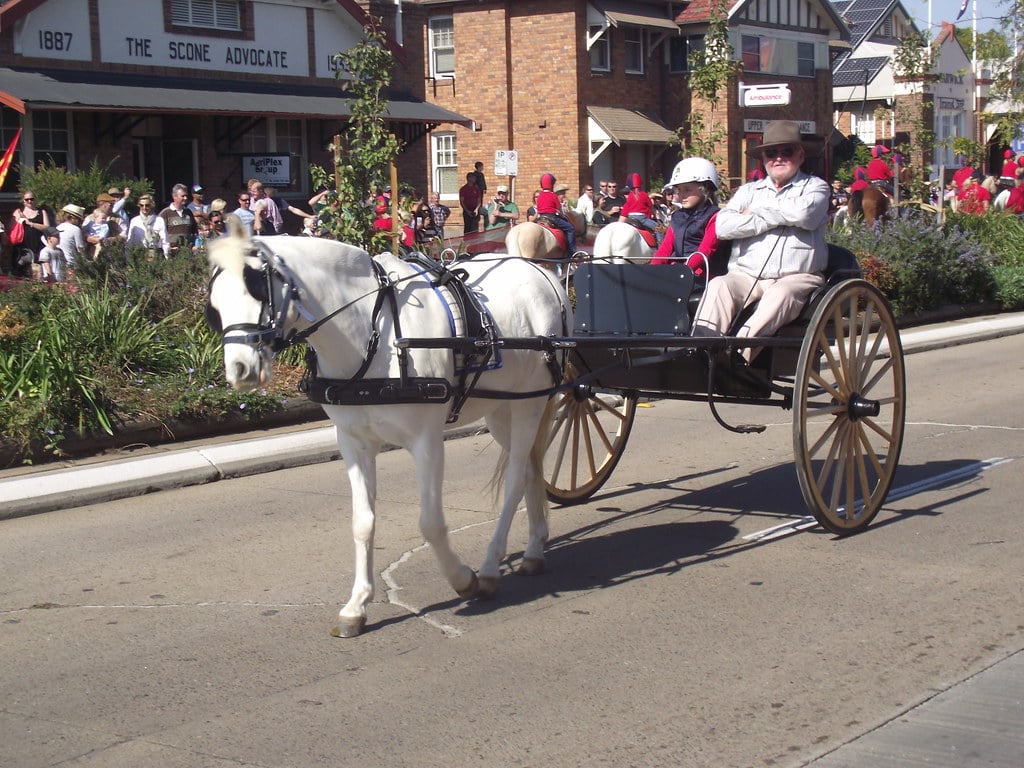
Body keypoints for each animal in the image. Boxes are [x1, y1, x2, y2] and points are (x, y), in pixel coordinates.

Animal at [205, 228, 577, 638]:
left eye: (256, 289)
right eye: (214, 306)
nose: (239, 369)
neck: (374, 333)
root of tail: (540, 273)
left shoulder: (427, 442)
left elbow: (430, 523)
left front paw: (463, 579)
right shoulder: (354, 444)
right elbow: (362, 523)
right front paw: (356, 606)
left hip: (530, 404)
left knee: (515, 480)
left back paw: (492, 568)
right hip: (501, 410)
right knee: (530, 468)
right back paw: (534, 550)